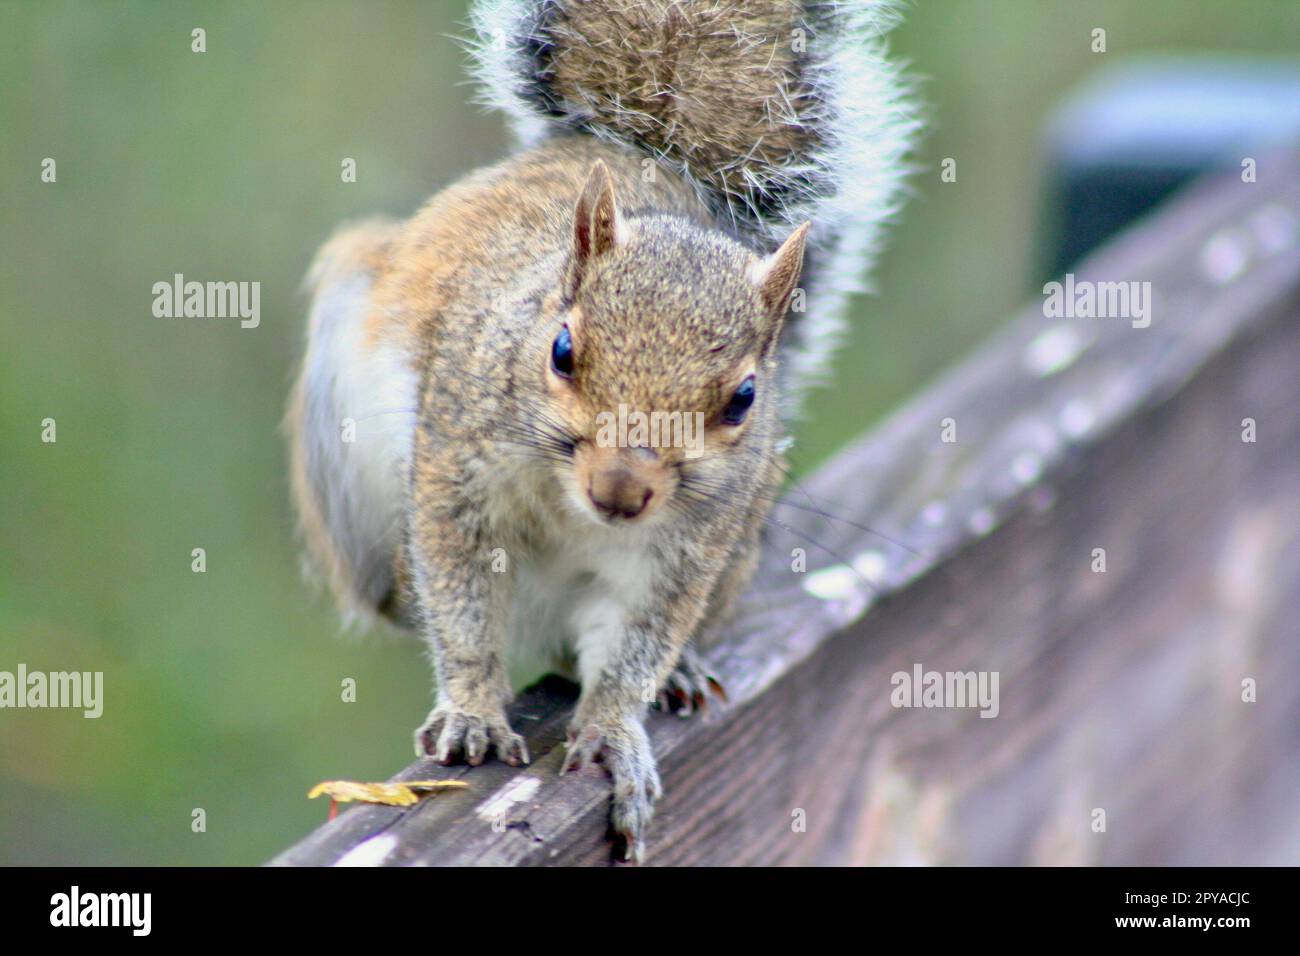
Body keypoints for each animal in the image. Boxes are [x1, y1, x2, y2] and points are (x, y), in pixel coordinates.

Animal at [284, 0, 915, 858]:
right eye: (562, 350)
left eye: (745, 399)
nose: (621, 490)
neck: (568, 505)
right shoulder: (455, 471)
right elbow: (460, 601)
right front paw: (472, 710)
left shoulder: (687, 553)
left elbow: (634, 649)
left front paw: (616, 731)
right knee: (405, 593)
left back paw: (679, 674)